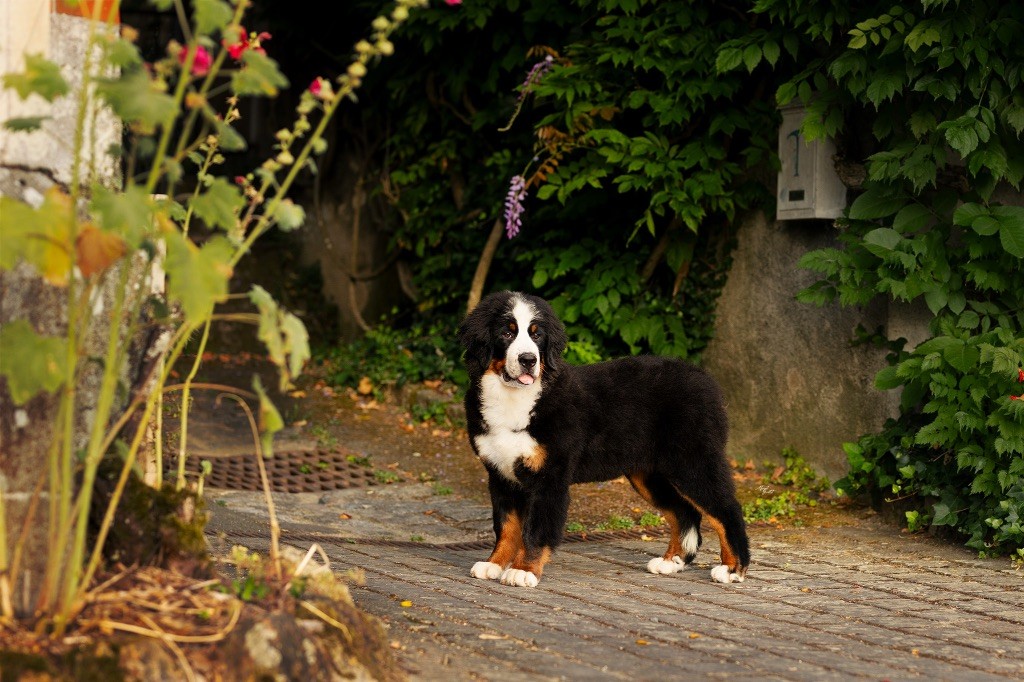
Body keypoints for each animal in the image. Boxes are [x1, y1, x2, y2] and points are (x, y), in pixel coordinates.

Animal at [460, 286, 749, 585]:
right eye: (507, 333)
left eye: (536, 334)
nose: (529, 360)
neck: (516, 399)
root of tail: (705, 379)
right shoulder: (501, 474)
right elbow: (506, 527)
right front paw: (494, 563)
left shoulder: (550, 477)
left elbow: (535, 529)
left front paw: (523, 570)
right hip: (650, 474)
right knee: (684, 512)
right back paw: (672, 561)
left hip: (693, 462)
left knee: (726, 510)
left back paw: (732, 568)